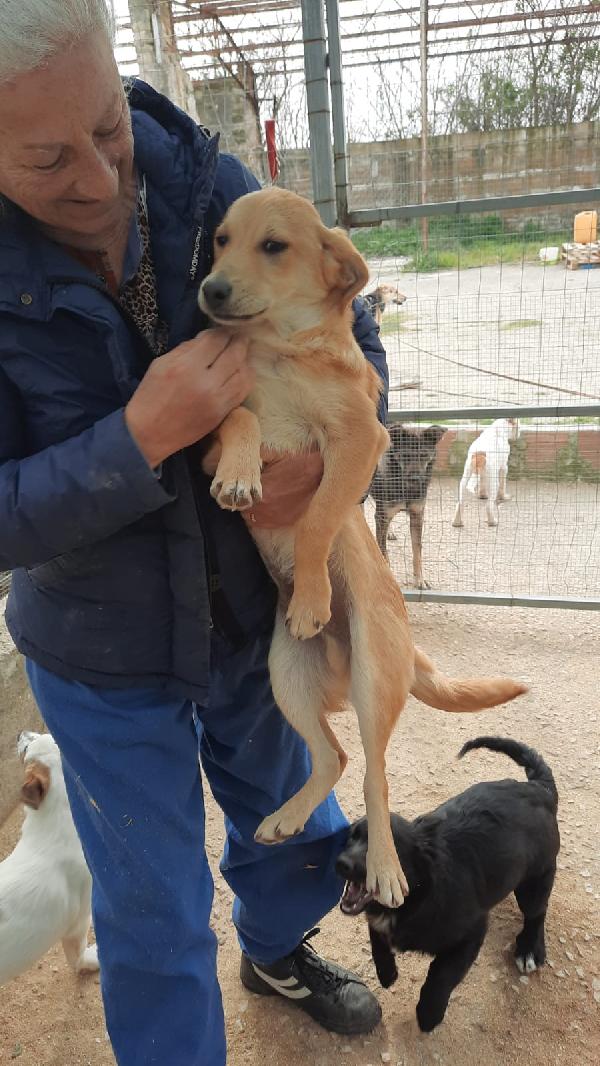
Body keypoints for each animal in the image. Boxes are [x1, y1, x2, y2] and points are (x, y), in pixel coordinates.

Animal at [0, 733, 98, 980]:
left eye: (46, 735)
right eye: (26, 749)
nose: (19, 734)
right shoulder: (78, 924)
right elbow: (78, 958)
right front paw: (92, 960)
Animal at [336, 741, 562, 1031]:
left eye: (387, 852)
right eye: (352, 836)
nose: (341, 864)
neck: (418, 892)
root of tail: (539, 789)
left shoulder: (472, 932)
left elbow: (440, 976)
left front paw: (428, 1014)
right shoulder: (375, 920)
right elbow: (377, 940)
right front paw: (387, 973)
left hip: (535, 879)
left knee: (537, 912)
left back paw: (530, 950)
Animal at [368, 424, 447, 592]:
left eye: (424, 455)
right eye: (405, 455)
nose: (415, 479)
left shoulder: (417, 515)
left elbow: (417, 551)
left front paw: (420, 580)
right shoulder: (382, 516)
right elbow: (383, 551)